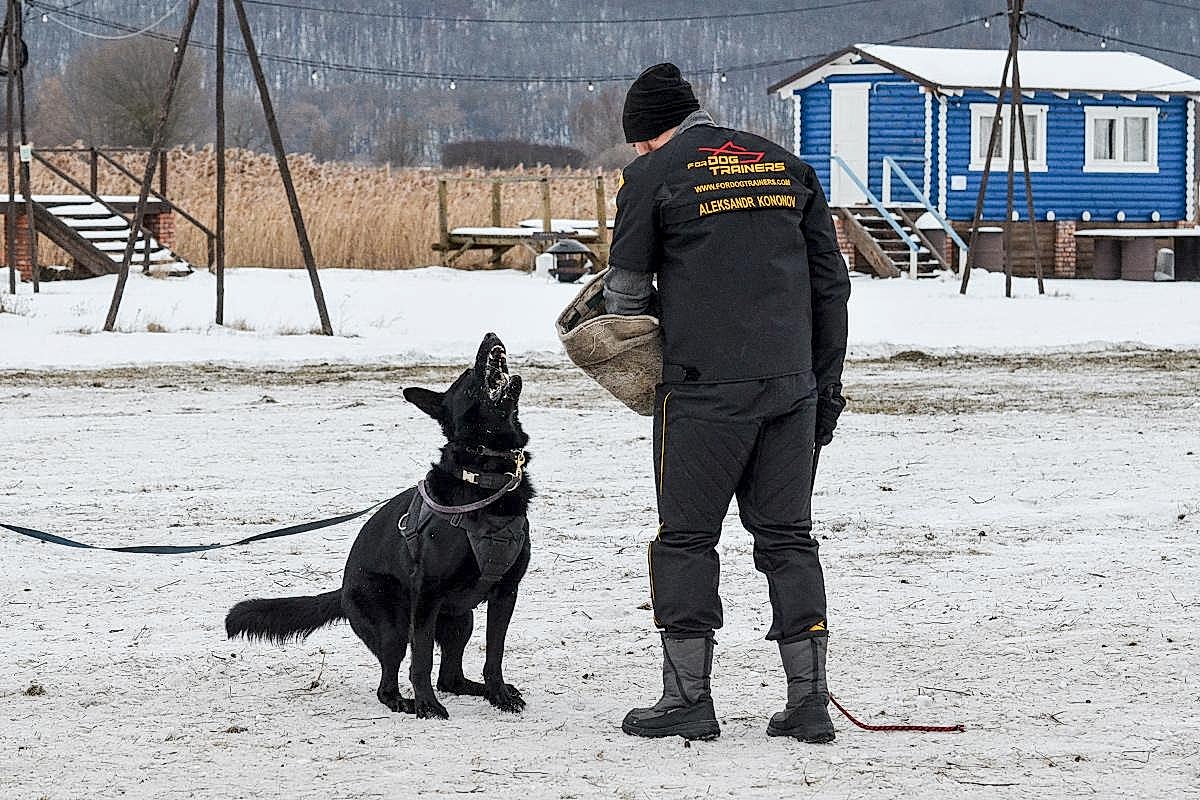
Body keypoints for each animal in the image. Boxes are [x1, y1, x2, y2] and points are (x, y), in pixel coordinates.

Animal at [226, 332, 532, 719]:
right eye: (468, 376)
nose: (491, 335)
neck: (484, 477)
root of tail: (342, 590)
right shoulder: (426, 596)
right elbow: (421, 660)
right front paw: (427, 705)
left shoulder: (505, 593)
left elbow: (495, 653)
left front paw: (499, 695)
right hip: (394, 625)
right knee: (390, 682)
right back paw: (405, 702)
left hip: (461, 619)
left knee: (451, 678)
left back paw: (474, 689)